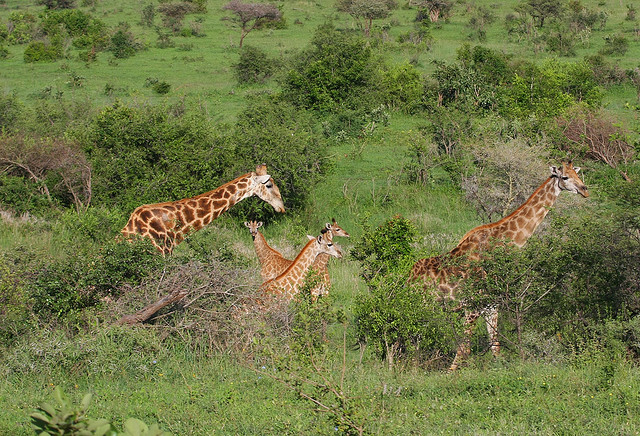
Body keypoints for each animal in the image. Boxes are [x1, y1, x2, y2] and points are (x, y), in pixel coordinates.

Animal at [410, 162, 589, 371]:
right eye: (565, 177)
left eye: (577, 174)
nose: (585, 190)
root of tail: (407, 277)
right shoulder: (473, 304)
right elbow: (464, 349)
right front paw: (449, 374)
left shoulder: (492, 304)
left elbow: (495, 345)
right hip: (423, 305)